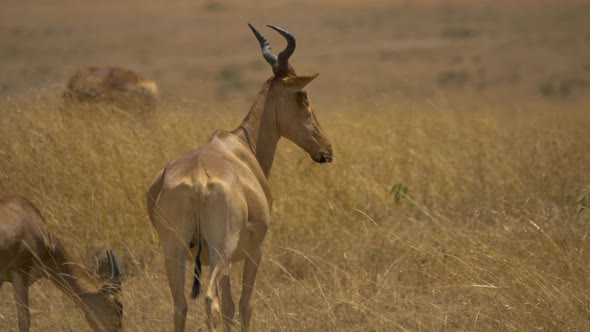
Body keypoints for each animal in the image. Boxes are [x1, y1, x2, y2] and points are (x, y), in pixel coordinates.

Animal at [146, 22, 336, 330]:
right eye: (303, 96)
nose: (326, 150)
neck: (239, 144)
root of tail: (197, 180)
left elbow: (230, 307)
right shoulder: (253, 252)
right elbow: (245, 306)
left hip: (174, 250)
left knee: (180, 306)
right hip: (220, 250)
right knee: (209, 299)